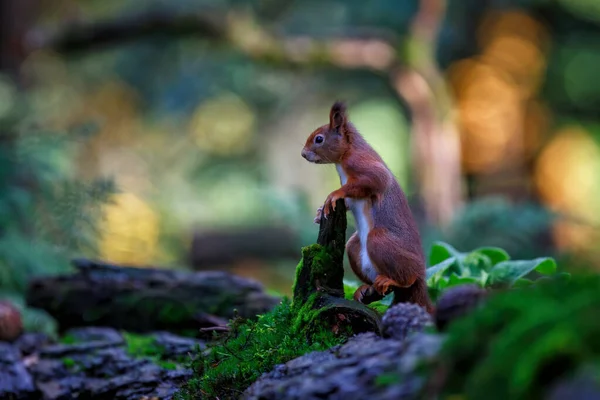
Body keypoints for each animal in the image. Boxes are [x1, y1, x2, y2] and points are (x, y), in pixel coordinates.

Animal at [302, 100, 434, 312]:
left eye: (319, 139)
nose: (303, 154)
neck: (345, 155)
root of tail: (422, 274)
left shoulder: (361, 163)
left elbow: (378, 179)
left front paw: (333, 194)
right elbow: (348, 201)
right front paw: (319, 212)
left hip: (380, 241)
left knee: (408, 277)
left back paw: (393, 280)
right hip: (354, 247)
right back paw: (365, 288)